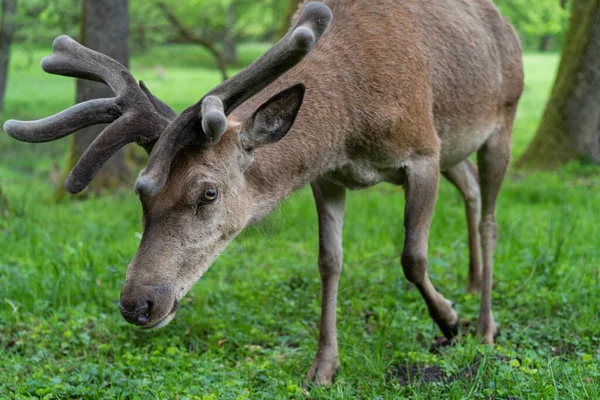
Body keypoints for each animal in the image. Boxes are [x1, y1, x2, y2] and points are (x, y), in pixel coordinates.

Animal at [3, 0, 520, 388]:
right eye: (142, 197)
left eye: (208, 193)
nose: (137, 304)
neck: (348, 125)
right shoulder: (328, 177)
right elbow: (329, 262)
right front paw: (323, 367)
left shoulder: (422, 150)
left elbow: (413, 255)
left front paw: (448, 321)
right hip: (457, 147)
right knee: (472, 190)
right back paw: (472, 280)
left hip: (501, 122)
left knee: (492, 217)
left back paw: (485, 325)